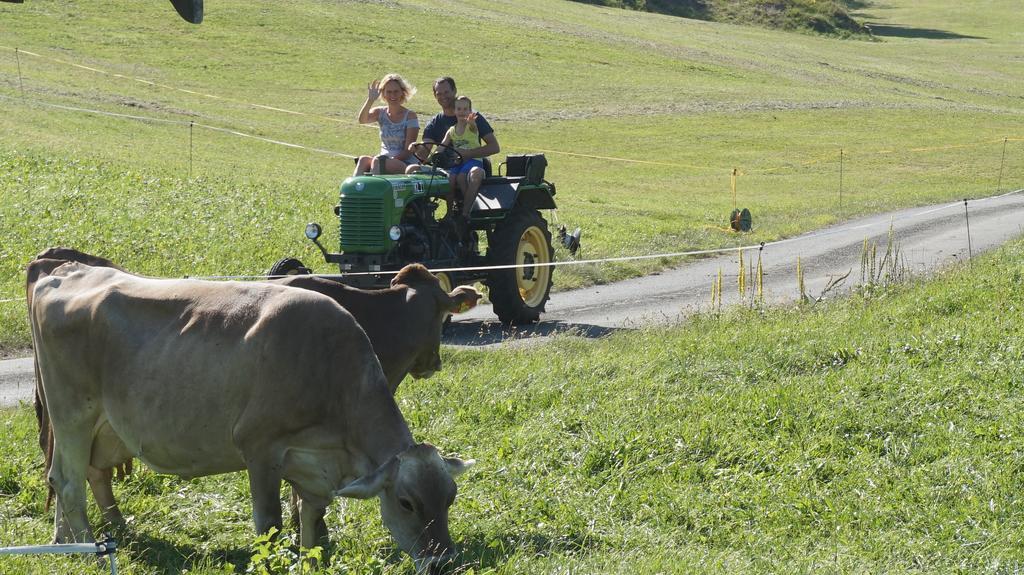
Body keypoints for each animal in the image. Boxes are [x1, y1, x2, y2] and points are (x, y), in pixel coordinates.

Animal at [33, 260, 475, 568]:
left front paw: (311, 559)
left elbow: (310, 519)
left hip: (106, 428)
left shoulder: (313, 468)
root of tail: (69, 271)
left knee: (81, 474)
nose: (442, 563)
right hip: (72, 413)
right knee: (69, 482)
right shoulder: (260, 449)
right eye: (406, 502)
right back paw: (91, 549)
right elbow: (271, 522)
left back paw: (73, 541)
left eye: (450, 498)